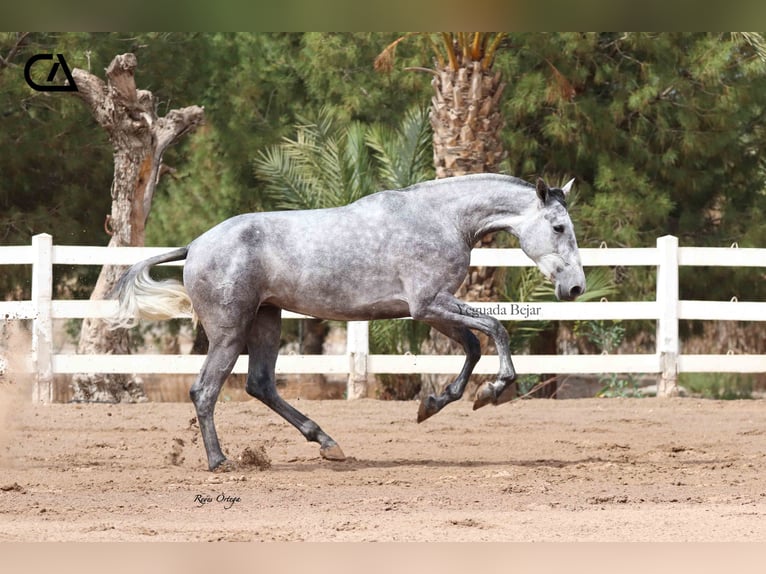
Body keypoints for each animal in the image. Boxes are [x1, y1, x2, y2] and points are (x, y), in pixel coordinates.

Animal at [109, 173, 588, 470]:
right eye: (559, 227)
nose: (575, 288)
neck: (442, 219)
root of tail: (194, 246)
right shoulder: (429, 304)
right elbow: (496, 331)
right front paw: (491, 392)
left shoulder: (432, 310)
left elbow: (472, 346)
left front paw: (434, 405)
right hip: (229, 332)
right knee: (205, 390)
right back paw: (219, 462)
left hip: (266, 321)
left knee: (260, 385)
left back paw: (327, 444)